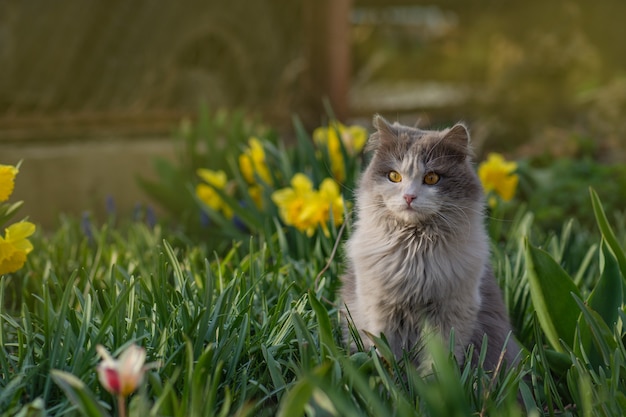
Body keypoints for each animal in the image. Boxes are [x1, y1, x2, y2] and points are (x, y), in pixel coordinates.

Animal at [338, 114, 520, 370]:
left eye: (432, 178)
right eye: (394, 176)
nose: (409, 197)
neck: (414, 251)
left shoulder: (450, 313)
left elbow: (437, 361)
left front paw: (431, 381)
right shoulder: (381, 309)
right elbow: (387, 353)